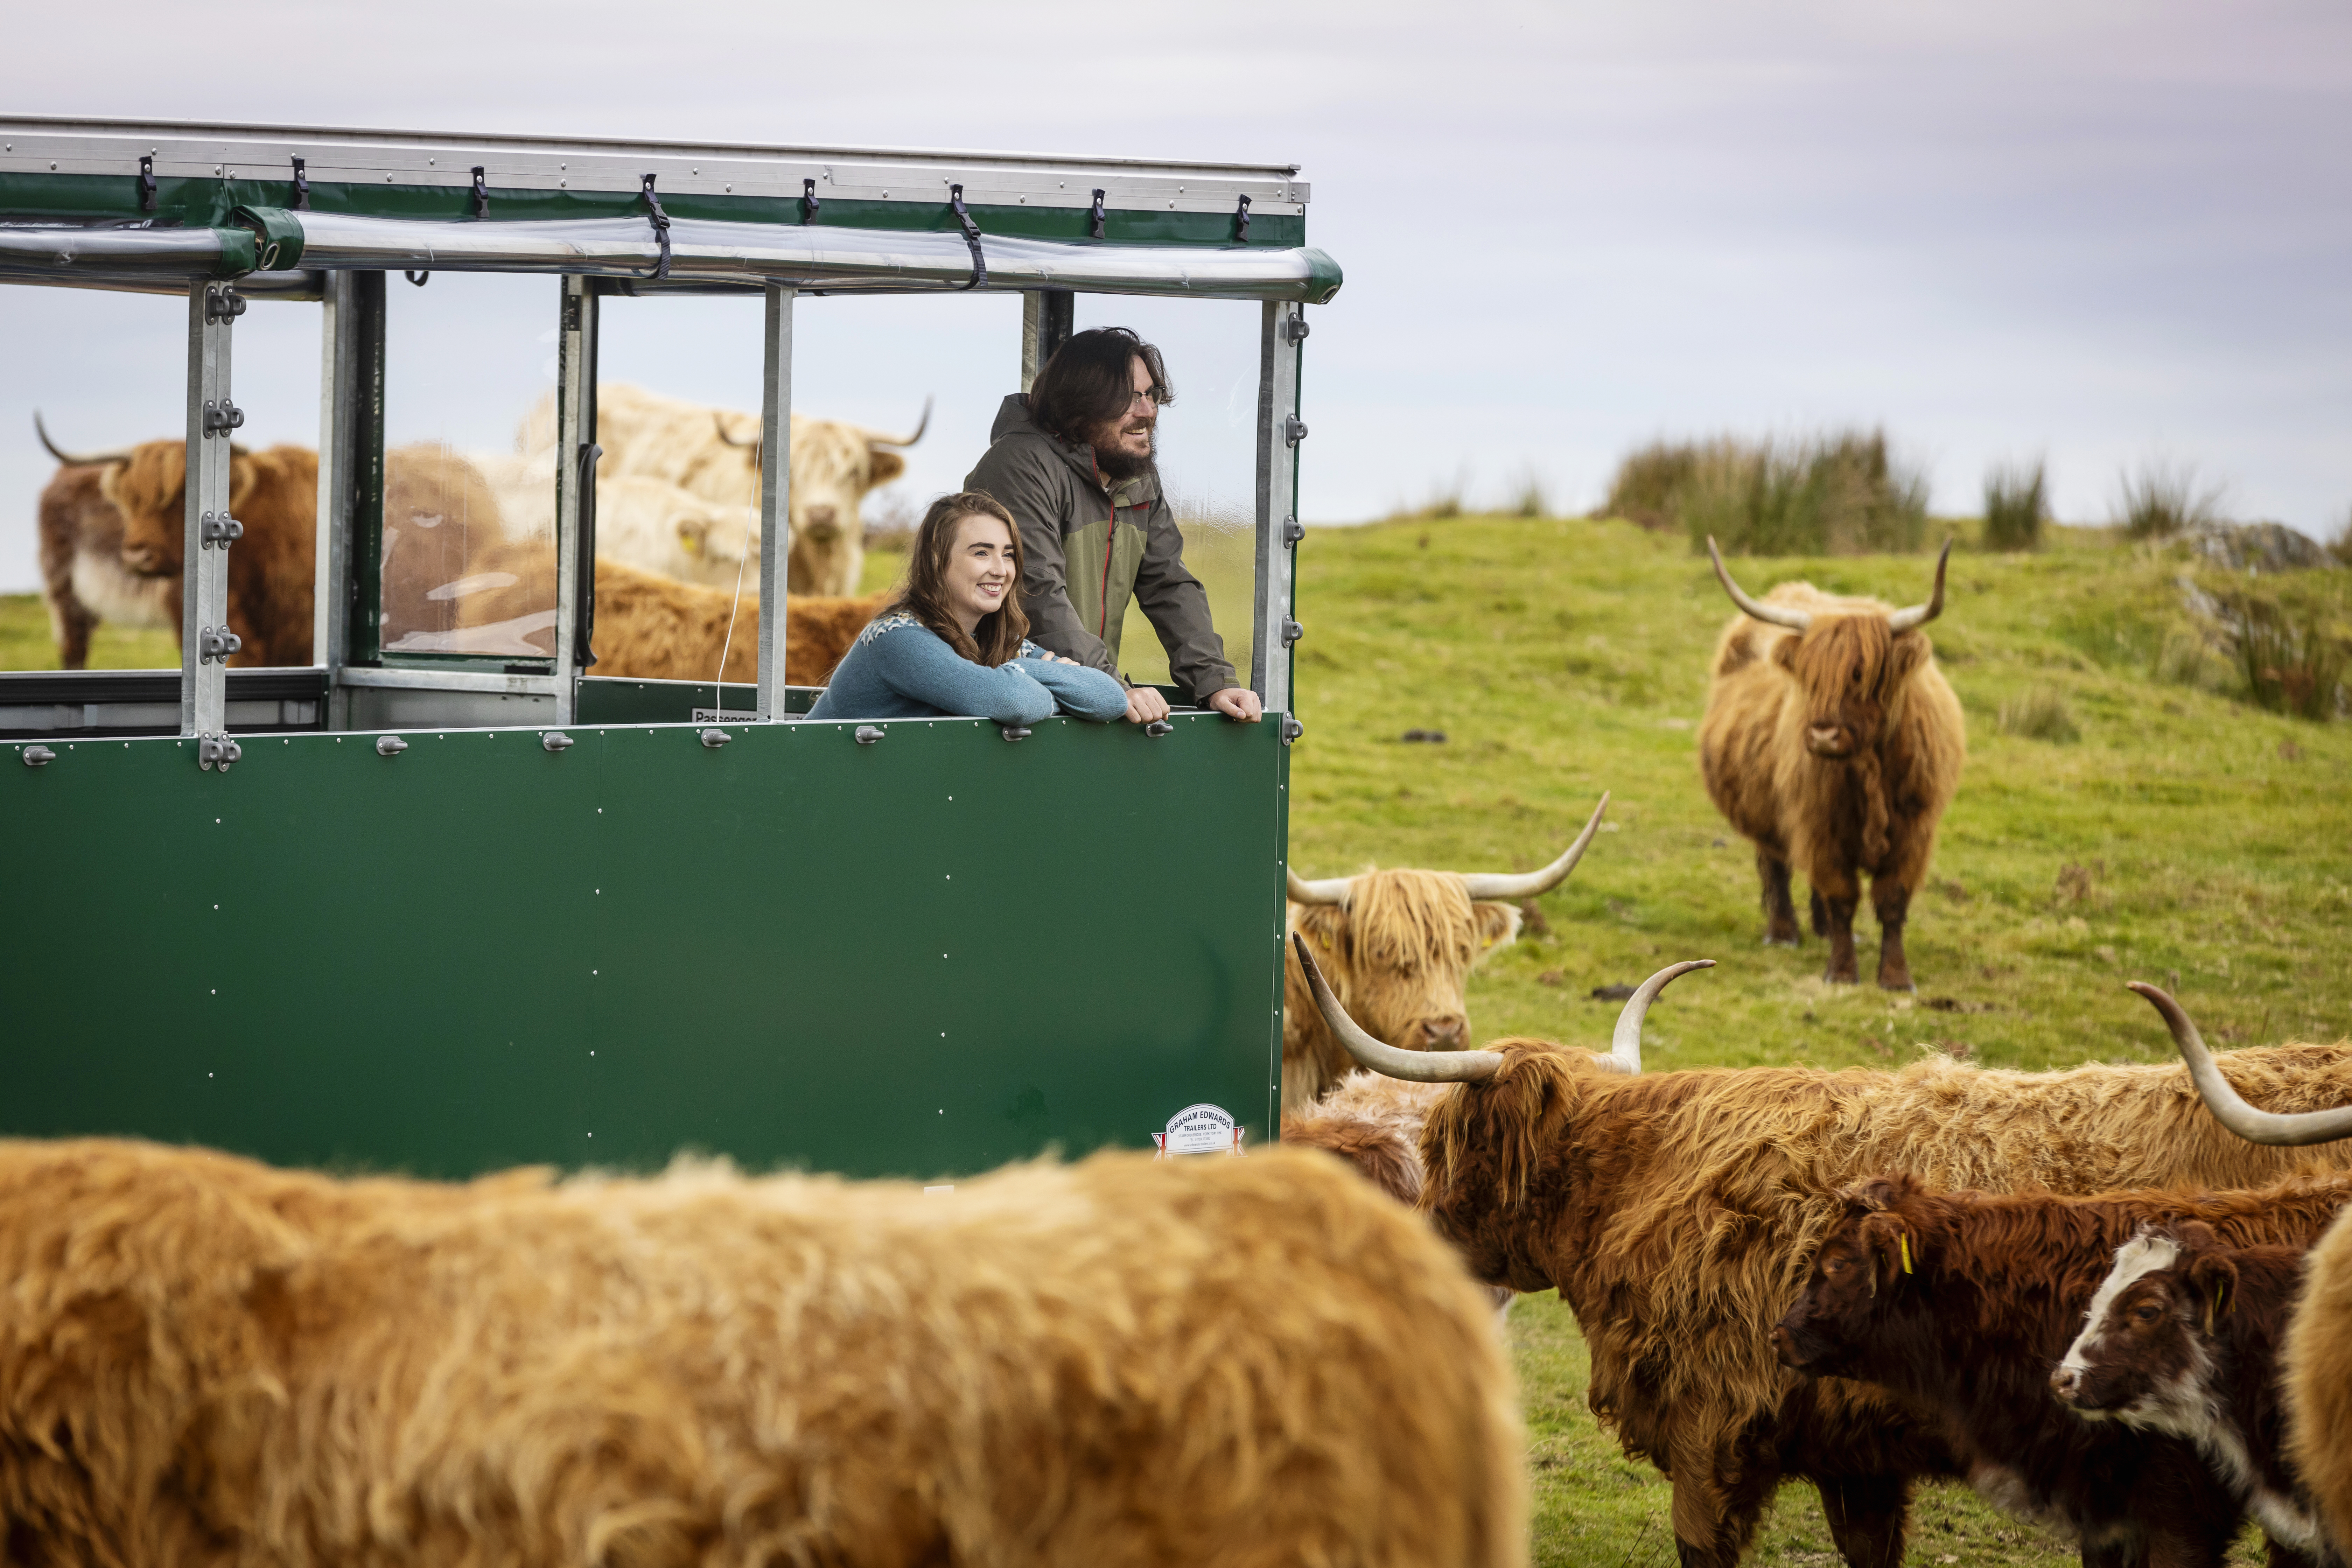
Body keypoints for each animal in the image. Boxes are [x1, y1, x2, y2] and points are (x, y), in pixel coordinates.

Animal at [1697, 537, 1965, 989]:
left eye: (1860, 673)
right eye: (1811, 677)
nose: (1823, 736)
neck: (1872, 768)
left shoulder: (1915, 830)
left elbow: (1892, 900)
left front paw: (1896, 976)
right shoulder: (1819, 822)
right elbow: (1841, 895)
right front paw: (1841, 971)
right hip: (1767, 808)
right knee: (1778, 865)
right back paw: (1784, 932)